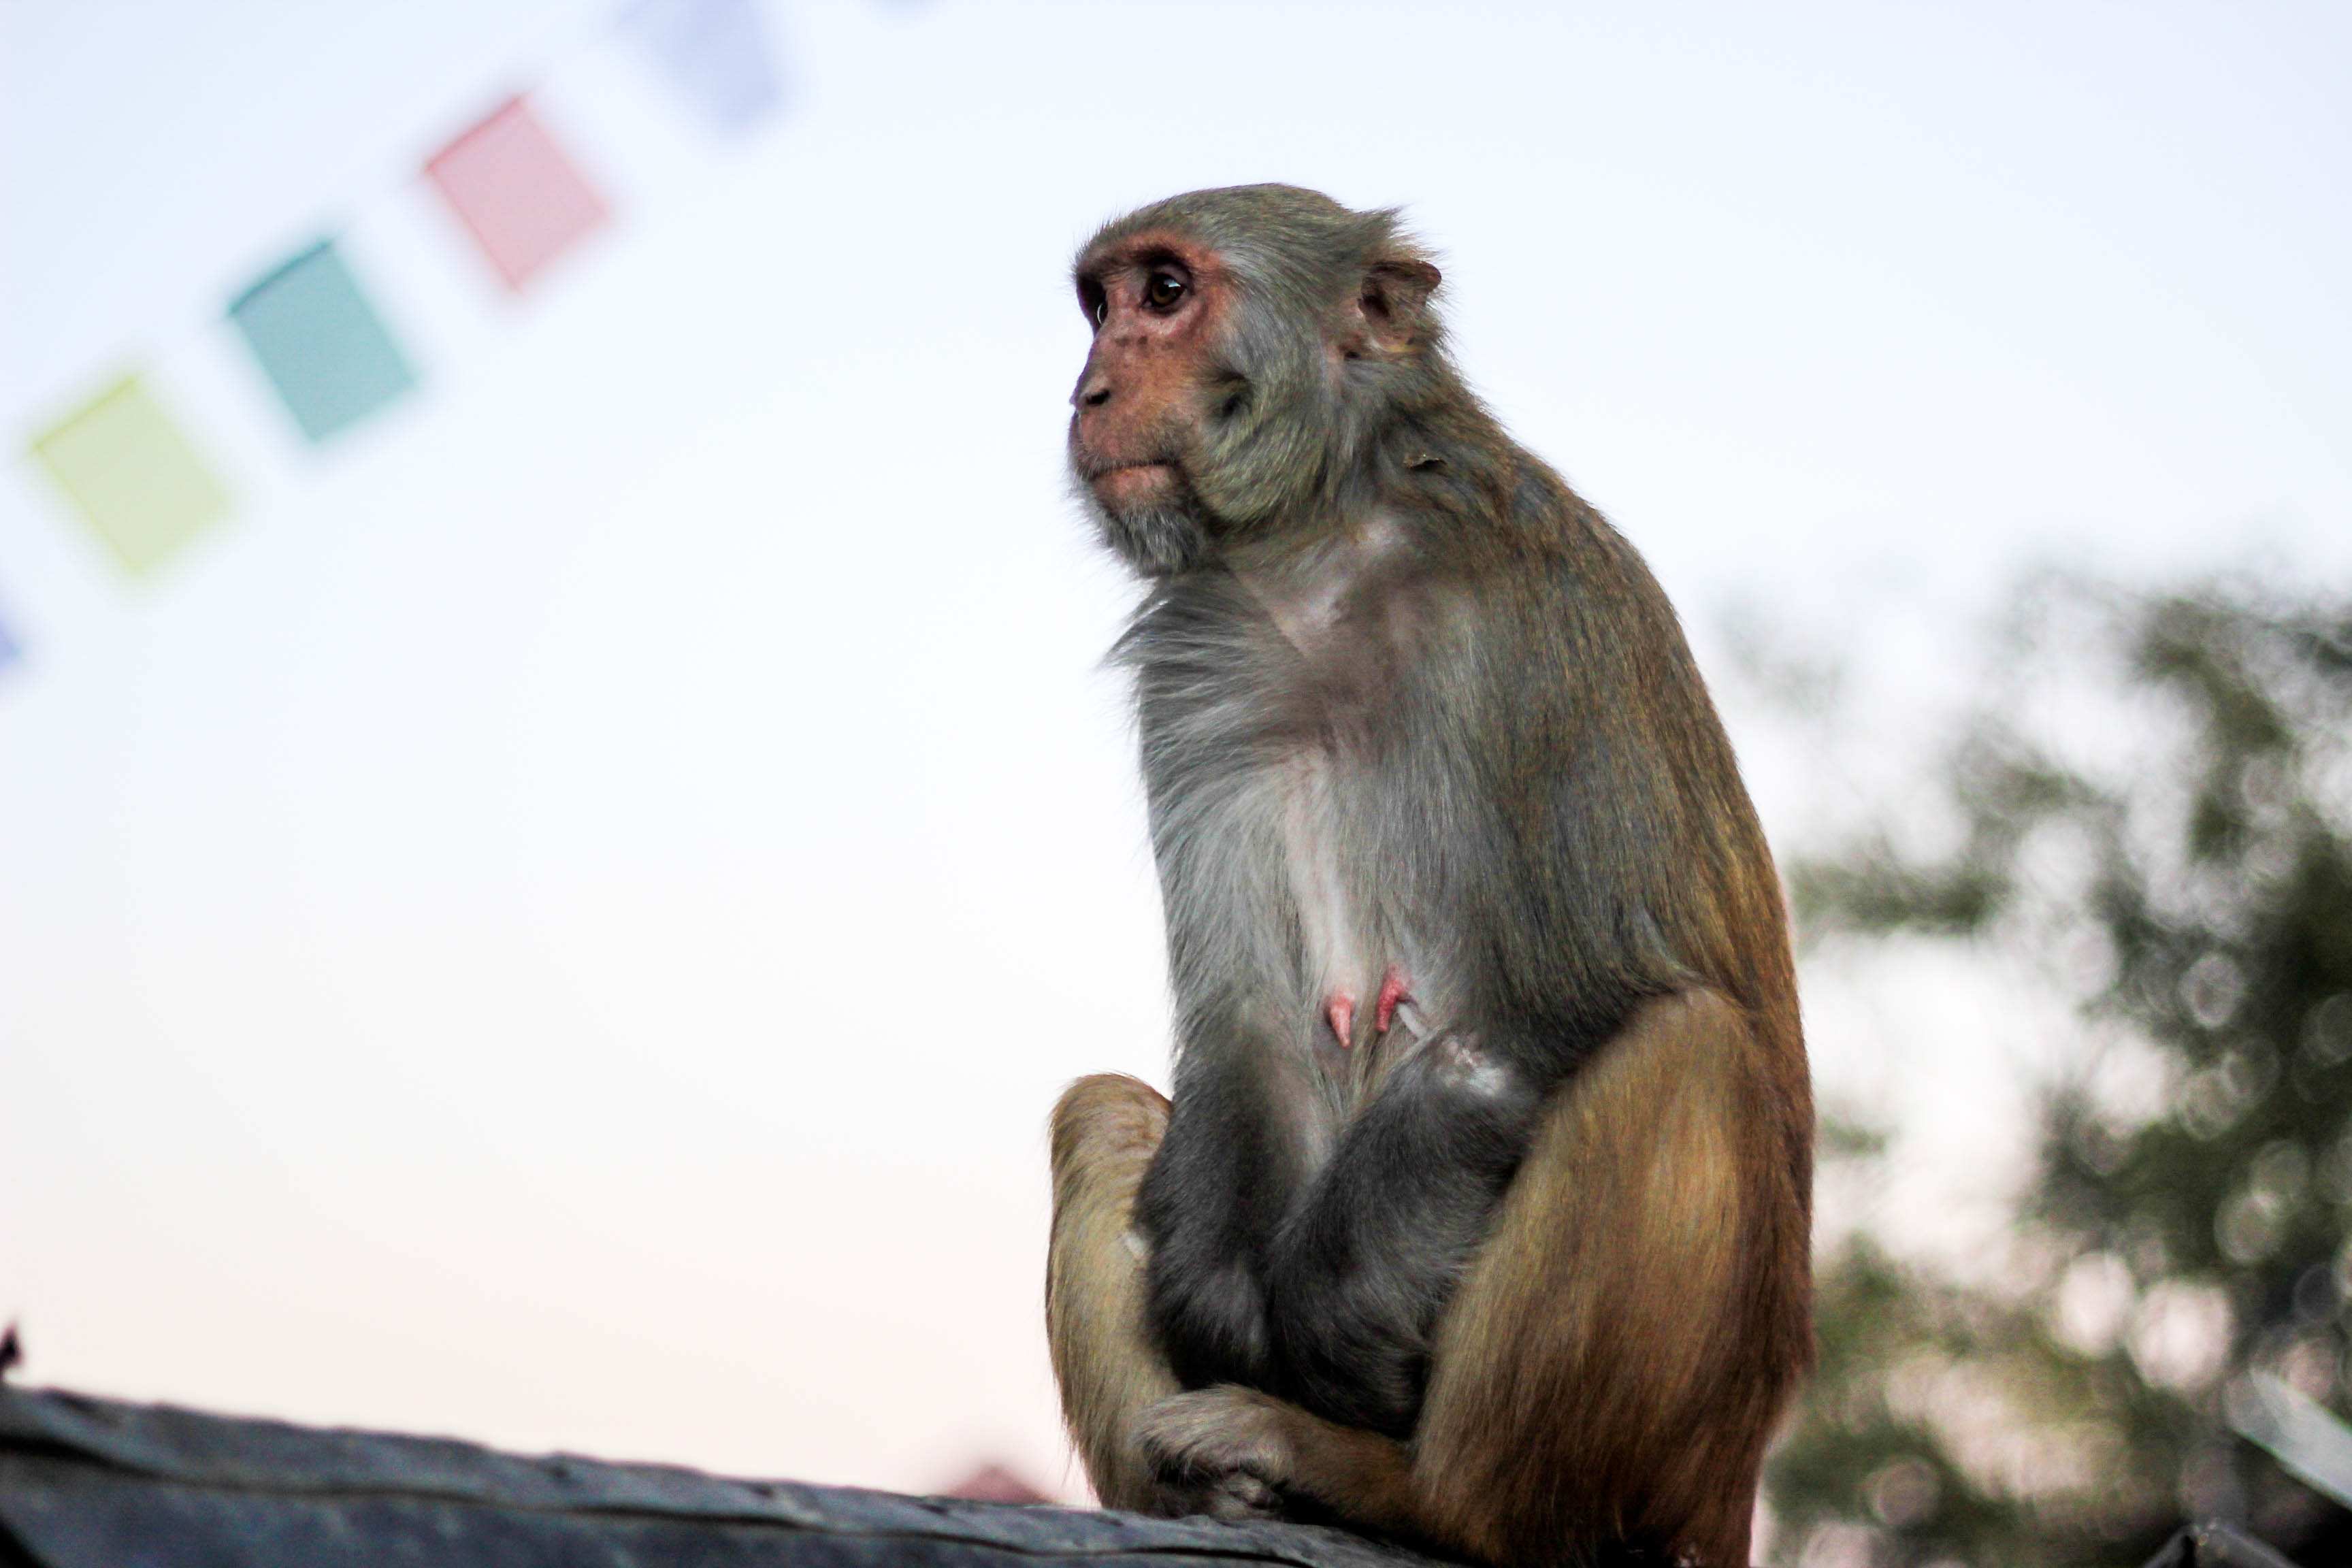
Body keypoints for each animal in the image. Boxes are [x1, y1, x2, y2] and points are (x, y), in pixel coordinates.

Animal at [1039, 186, 1806, 1568]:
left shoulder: (1530, 623)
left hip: (1683, 1450)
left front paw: (1325, 1312)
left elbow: (1565, 999)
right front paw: (1216, 1303)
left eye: (1166, 292)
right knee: (1106, 1113)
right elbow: (1248, 1031)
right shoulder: (1200, 674)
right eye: (1100, 305)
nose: (1089, 387)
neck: (1319, 558)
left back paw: (1411, 1492)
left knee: (1687, 1055)